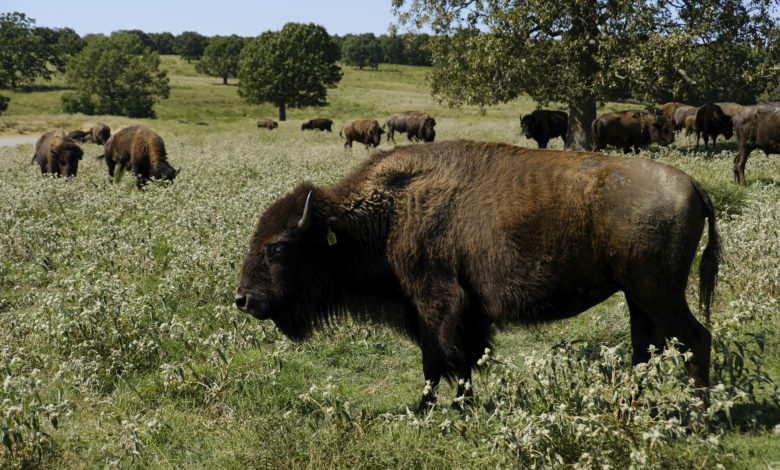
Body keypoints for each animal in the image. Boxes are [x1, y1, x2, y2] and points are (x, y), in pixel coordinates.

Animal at [235, 140, 718, 410]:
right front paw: (458, 403)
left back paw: (698, 417)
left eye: (278, 247)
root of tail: (691, 183)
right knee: (646, 348)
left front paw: (428, 407)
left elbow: (439, 360)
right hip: (638, 297)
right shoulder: (463, 313)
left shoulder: (434, 305)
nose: (243, 300)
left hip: (659, 293)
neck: (387, 214)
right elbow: (463, 359)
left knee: (695, 338)